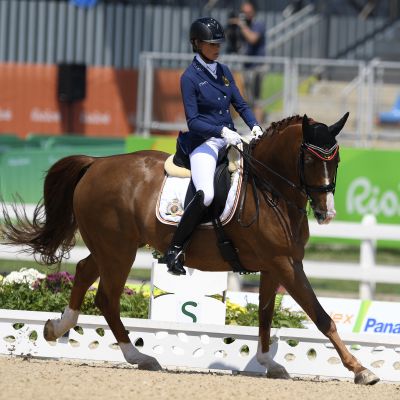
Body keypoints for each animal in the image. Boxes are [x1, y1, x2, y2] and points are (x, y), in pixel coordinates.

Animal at [0, 113, 378, 384]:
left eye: (337, 160)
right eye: (312, 161)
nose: (327, 213)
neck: (271, 189)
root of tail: (97, 163)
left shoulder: (275, 265)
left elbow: (265, 315)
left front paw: (268, 363)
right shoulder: (285, 263)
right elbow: (321, 316)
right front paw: (361, 370)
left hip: (113, 247)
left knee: (83, 272)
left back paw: (56, 328)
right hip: (118, 250)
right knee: (107, 298)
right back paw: (139, 357)